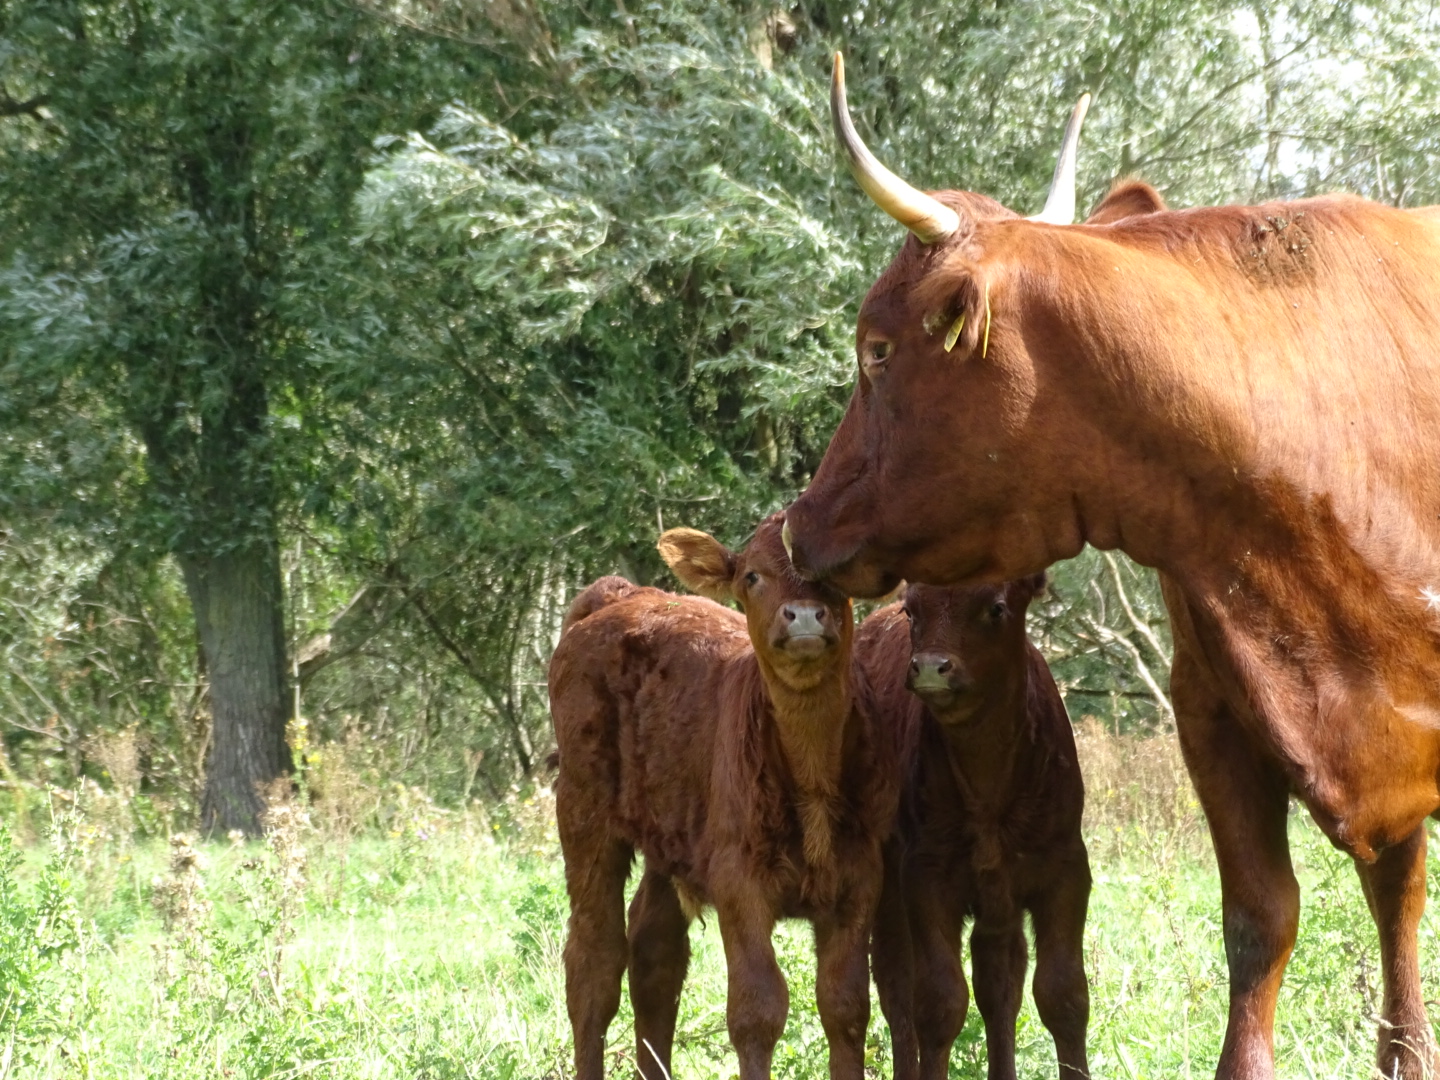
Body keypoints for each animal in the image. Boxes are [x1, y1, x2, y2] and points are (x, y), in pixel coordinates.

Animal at [547, 514, 899, 1080]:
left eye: (835, 578)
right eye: (752, 576)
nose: (804, 615)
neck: (811, 775)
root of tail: (622, 593)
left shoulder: (860, 878)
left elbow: (845, 1005)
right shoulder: (739, 880)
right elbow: (758, 1009)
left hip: (671, 825)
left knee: (654, 951)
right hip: (584, 810)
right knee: (593, 963)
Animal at [861, 577, 1090, 1080]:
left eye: (996, 607)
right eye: (912, 610)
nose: (930, 667)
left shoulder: (1066, 869)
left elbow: (1063, 995)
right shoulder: (924, 875)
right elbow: (938, 1002)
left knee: (999, 987)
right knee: (896, 986)